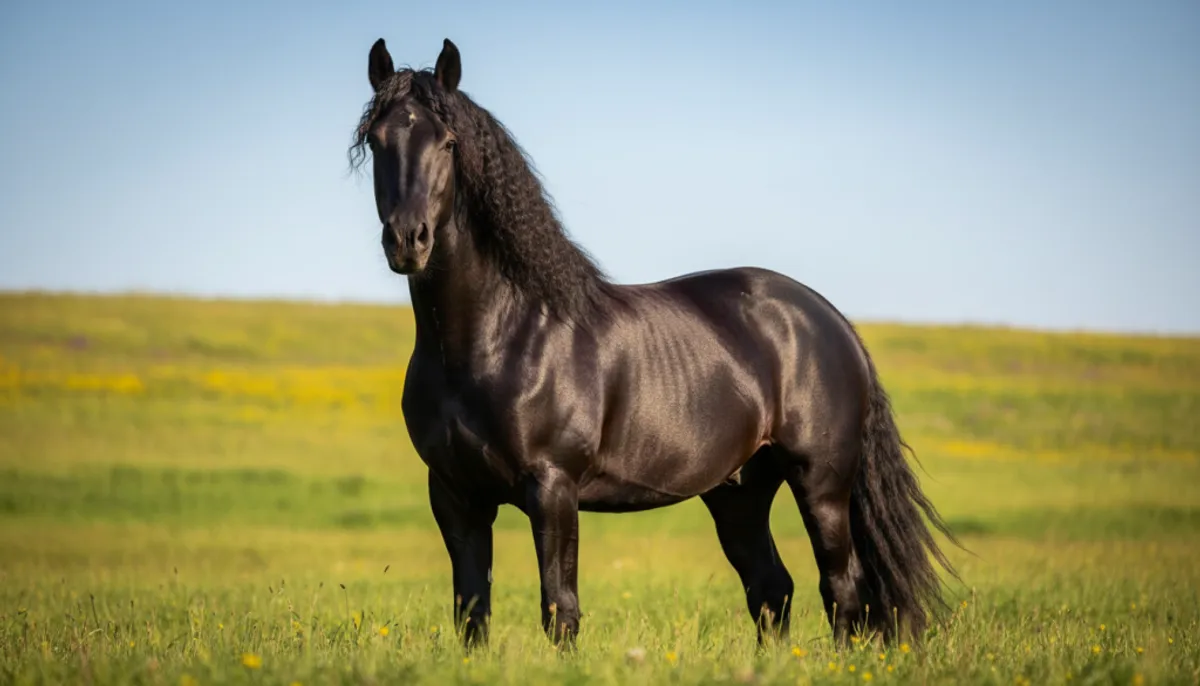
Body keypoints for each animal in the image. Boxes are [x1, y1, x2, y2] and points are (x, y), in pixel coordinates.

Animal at [348, 37, 961, 650]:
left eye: (449, 142)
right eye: (377, 140)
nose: (408, 240)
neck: (498, 337)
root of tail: (830, 320)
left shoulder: (552, 488)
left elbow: (560, 609)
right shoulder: (456, 495)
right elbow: (472, 612)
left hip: (822, 484)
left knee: (843, 591)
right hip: (738, 491)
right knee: (772, 589)